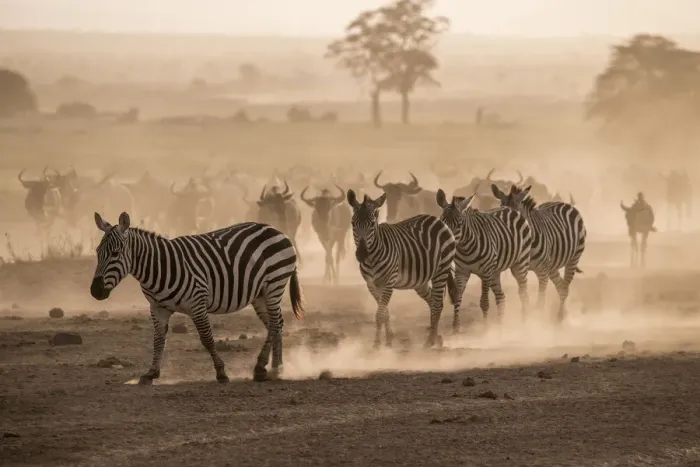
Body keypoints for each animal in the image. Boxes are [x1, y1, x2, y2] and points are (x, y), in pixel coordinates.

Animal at [89, 211, 304, 384]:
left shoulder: (197, 303)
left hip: (274, 285)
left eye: (116, 253)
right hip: (260, 295)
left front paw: (221, 372)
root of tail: (276, 230)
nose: (95, 292)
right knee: (275, 325)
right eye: (98, 252)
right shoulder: (157, 308)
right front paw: (151, 373)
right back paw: (272, 368)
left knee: (275, 325)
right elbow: (158, 340)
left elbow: (207, 338)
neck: (159, 267)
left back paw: (268, 368)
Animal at [346, 190, 456, 348]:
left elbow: (380, 314)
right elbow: (384, 312)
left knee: (436, 303)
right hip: (420, 281)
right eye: (353, 223)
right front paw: (388, 339)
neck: (372, 258)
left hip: (441, 270)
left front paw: (376, 345)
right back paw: (437, 337)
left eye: (372, 224)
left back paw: (430, 341)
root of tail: (437, 220)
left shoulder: (389, 282)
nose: (361, 254)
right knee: (433, 301)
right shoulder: (371, 285)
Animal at [436, 189, 532, 332]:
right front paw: (456, 327)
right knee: (501, 297)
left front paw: (485, 330)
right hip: (495, 271)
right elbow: (458, 296)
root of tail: (510, 208)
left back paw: (525, 322)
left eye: (459, 224)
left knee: (523, 293)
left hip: (519, 264)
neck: (465, 248)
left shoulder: (486, 272)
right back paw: (500, 325)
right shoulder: (462, 271)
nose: (447, 244)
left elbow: (484, 302)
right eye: (442, 221)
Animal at [492, 184, 586, 322]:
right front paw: (525, 317)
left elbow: (540, 301)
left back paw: (560, 317)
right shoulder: (518, 270)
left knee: (564, 288)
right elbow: (523, 296)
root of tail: (562, 202)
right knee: (560, 286)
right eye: (500, 209)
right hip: (552, 266)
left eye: (516, 216)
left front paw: (537, 320)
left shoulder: (542, 272)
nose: (505, 237)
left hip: (573, 258)